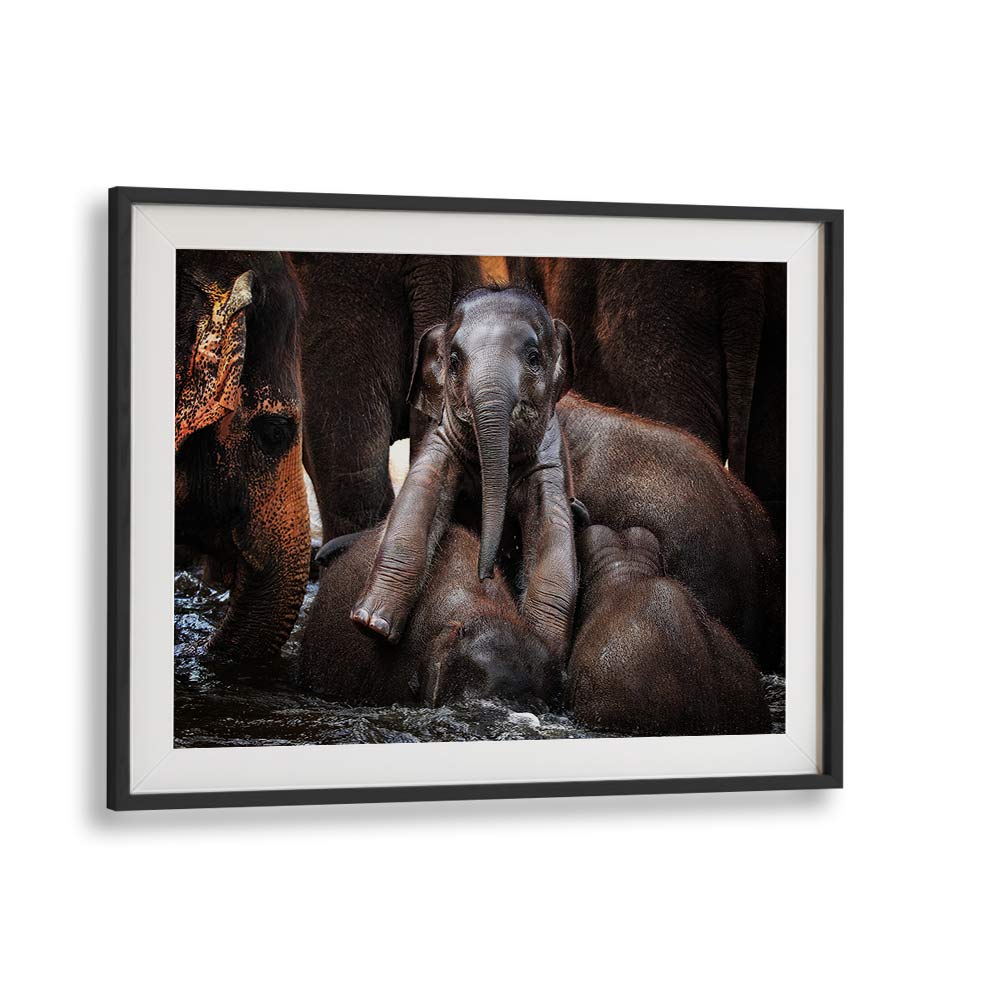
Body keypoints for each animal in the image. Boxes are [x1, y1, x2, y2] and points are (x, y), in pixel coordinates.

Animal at [351, 287, 578, 660]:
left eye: (534, 357)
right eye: (454, 362)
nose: (486, 575)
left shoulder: (550, 461)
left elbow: (553, 531)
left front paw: (543, 646)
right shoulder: (441, 442)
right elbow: (419, 497)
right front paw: (371, 625)